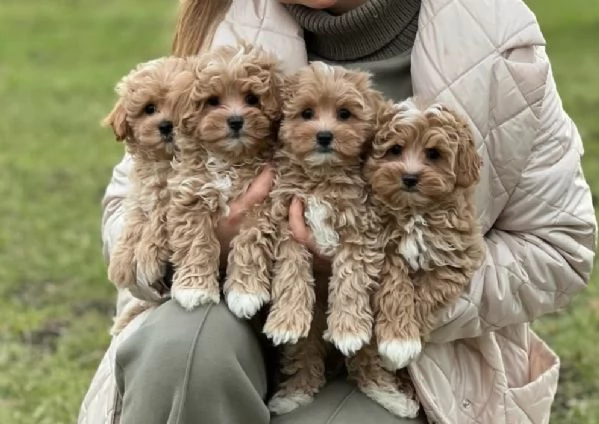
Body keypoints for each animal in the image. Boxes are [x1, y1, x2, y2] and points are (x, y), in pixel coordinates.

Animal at [104, 58, 191, 300]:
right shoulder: (140, 194)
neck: (165, 163)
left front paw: (148, 257)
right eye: (149, 108)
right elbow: (135, 221)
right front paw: (121, 263)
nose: (166, 125)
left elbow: (158, 221)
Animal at [166, 44, 284, 312]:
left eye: (251, 98)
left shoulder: (262, 204)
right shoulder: (192, 194)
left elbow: (251, 242)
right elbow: (195, 240)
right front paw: (194, 288)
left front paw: (246, 292)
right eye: (212, 101)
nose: (236, 120)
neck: (229, 159)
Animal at [366, 99, 488, 372]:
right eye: (396, 149)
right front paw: (398, 340)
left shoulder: (455, 256)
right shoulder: (387, 249)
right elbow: (396, 288)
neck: (415, 212)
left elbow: (426, 294)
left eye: (433, 154)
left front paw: (405, 342)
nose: (409, 178)